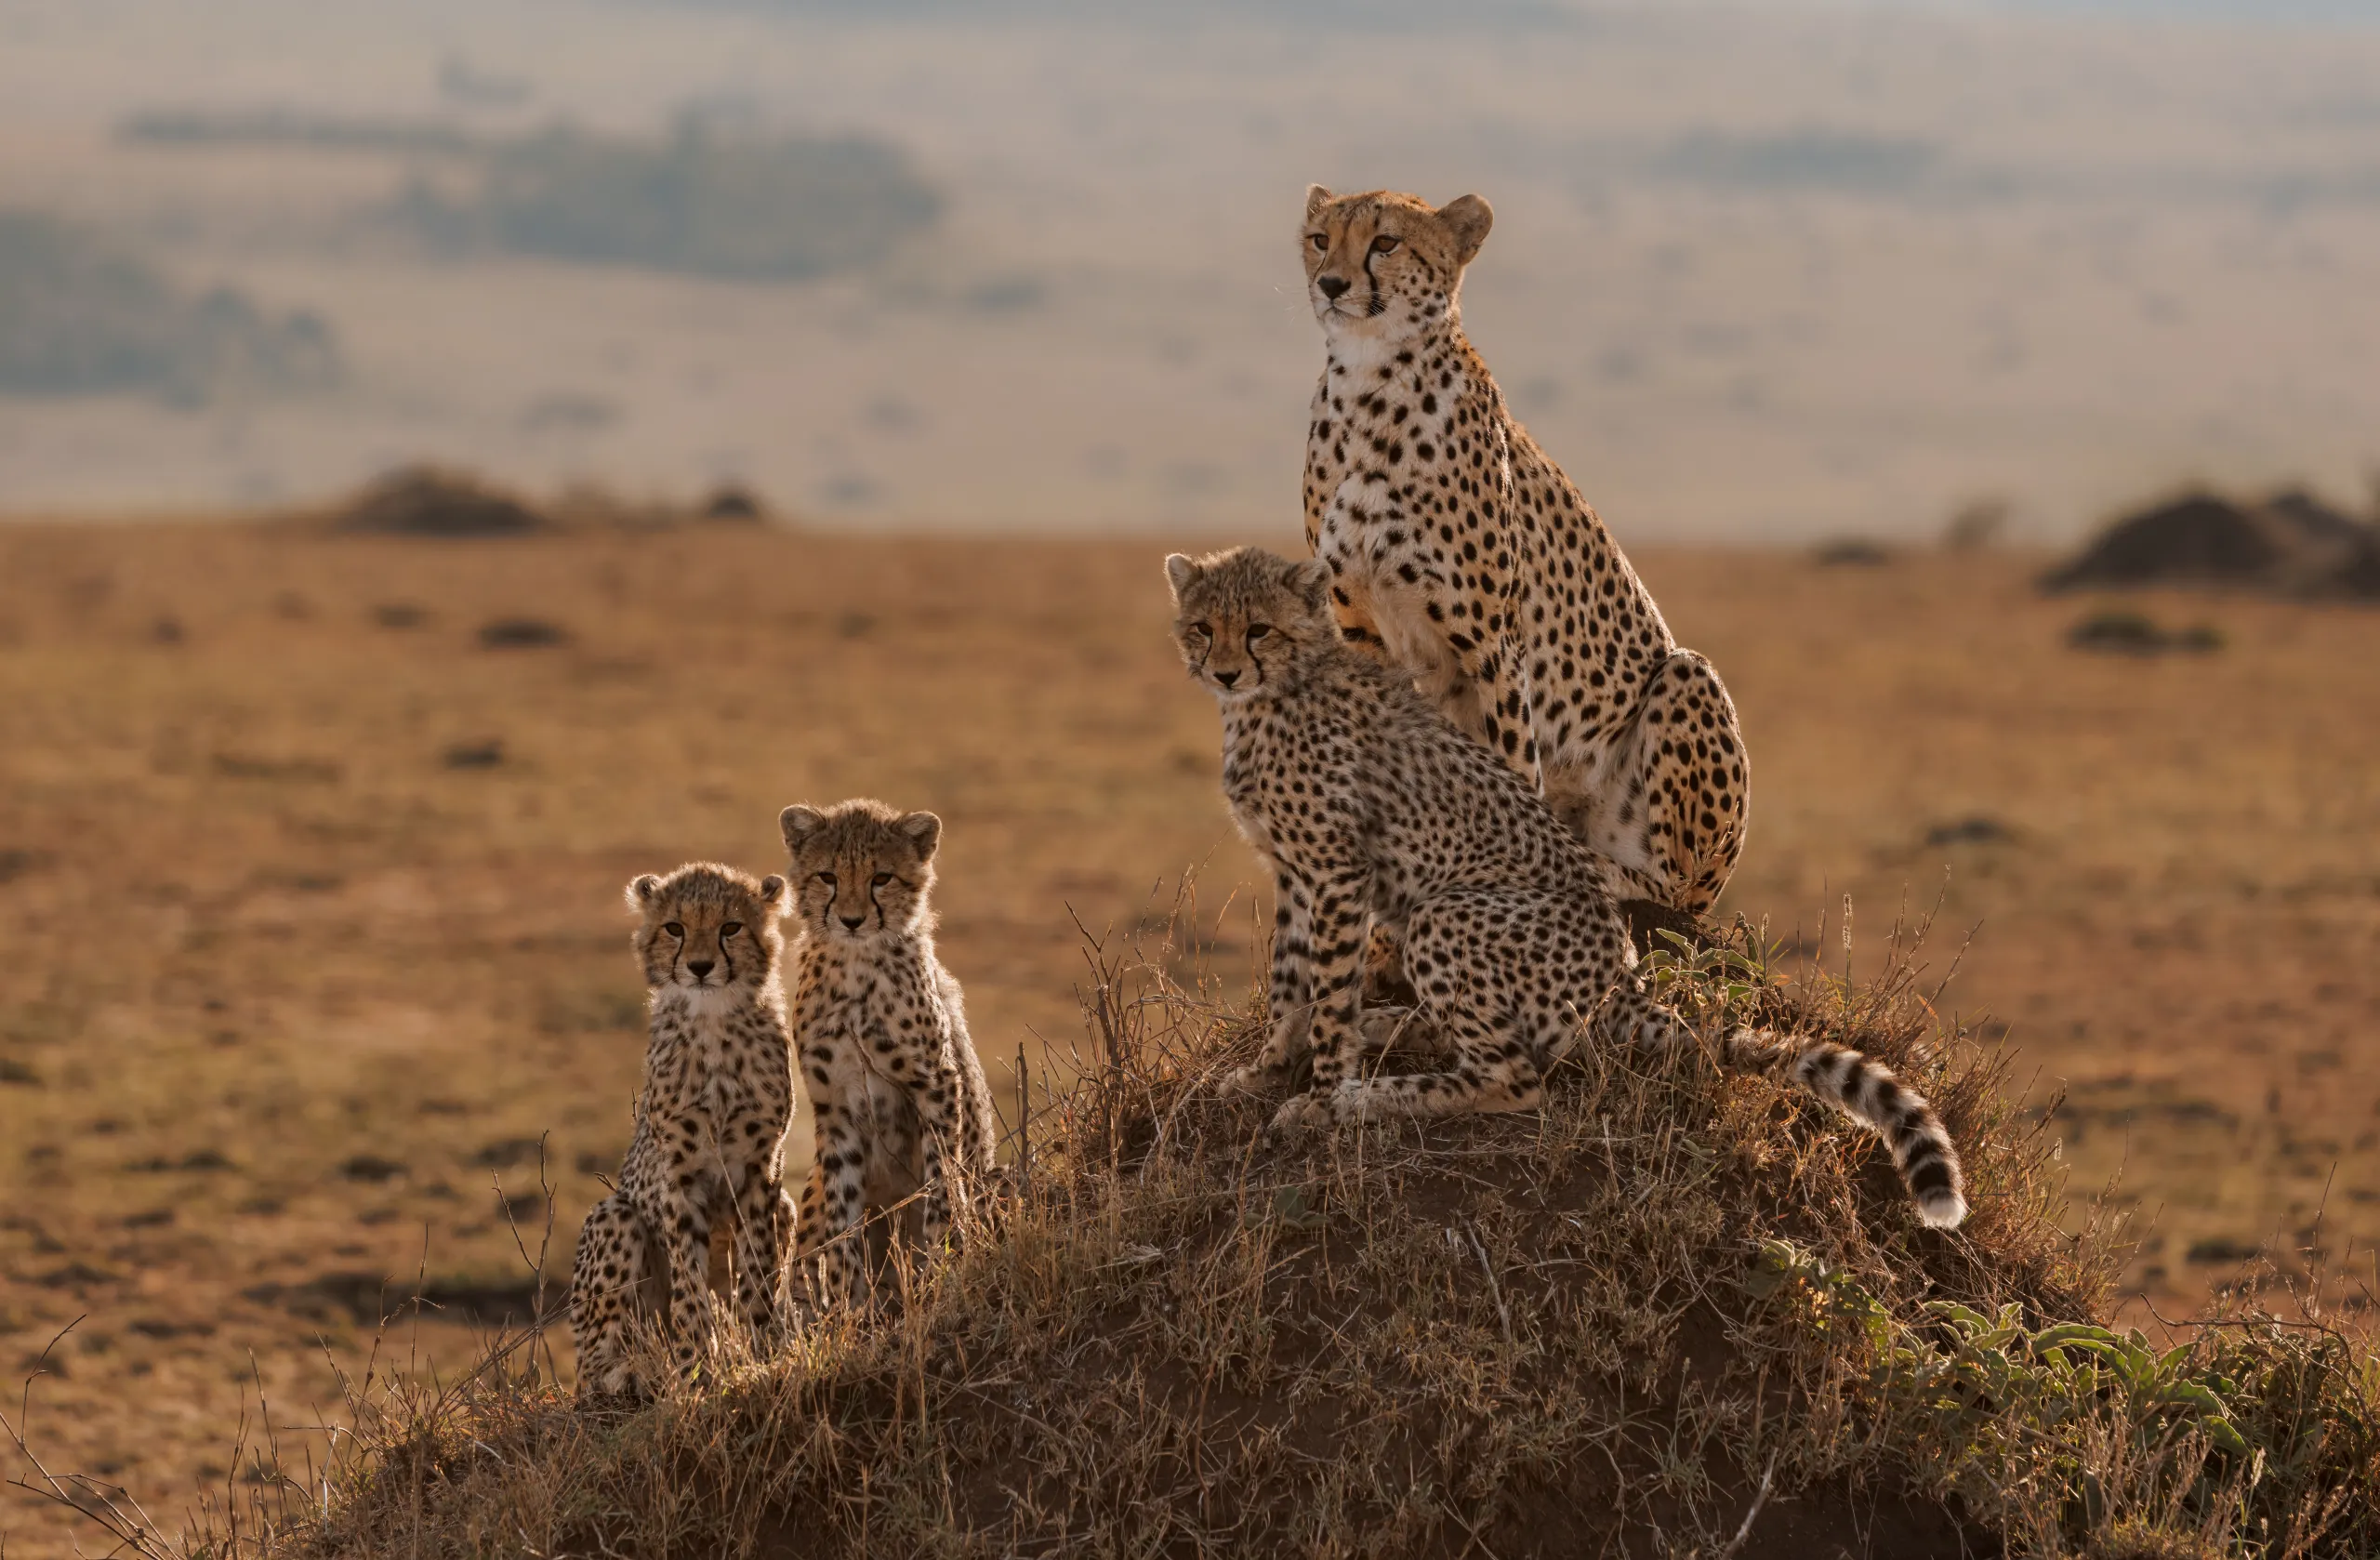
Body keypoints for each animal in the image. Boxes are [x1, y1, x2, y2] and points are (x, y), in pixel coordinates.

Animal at [571, 861, 797, 1400]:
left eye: (730, 927)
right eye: (674, 927)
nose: (698, 967)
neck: (713, 1021)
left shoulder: (762, 1172)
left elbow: (757, 1272)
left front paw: (760, 1355)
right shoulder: (678, 1175)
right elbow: (690, 1287)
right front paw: (699, 1369)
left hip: (786, 1206)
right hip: (615, 1215)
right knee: (594, 1361)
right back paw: (628, 1371)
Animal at [780, 798, 1000, 1307]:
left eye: (881, 877)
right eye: (827, 876)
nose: (852, 920)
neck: (856, 968)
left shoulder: (935, 1084)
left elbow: (942, 1184)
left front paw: (943, 1262)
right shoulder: (835, 1109)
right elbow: (841, 1216)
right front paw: (846, 1303)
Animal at [1168, 545, 1966, 1229]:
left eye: (1260, 630)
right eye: (1204, 628)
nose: (1226, 672)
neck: (1279, 689)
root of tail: (1621, 979)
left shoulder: (1336, 869)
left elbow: (1327, 995)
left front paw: (1323, 1098)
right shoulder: (1294, 870)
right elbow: (1288, 979)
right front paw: (1269, 1066)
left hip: (1445, 916)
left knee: (1516, 1081)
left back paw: (1374, 1093)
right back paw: (1385, 1029)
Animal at [1299, 184, 1749, 922]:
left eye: (1385, 242)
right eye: (1318, 238)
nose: (1331, 283)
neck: (1370, 382)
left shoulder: (1491, 644)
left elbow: (1512, 761)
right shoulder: (1360, 629)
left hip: (1687, 683)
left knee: (1675, 891)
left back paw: (1609, 870)